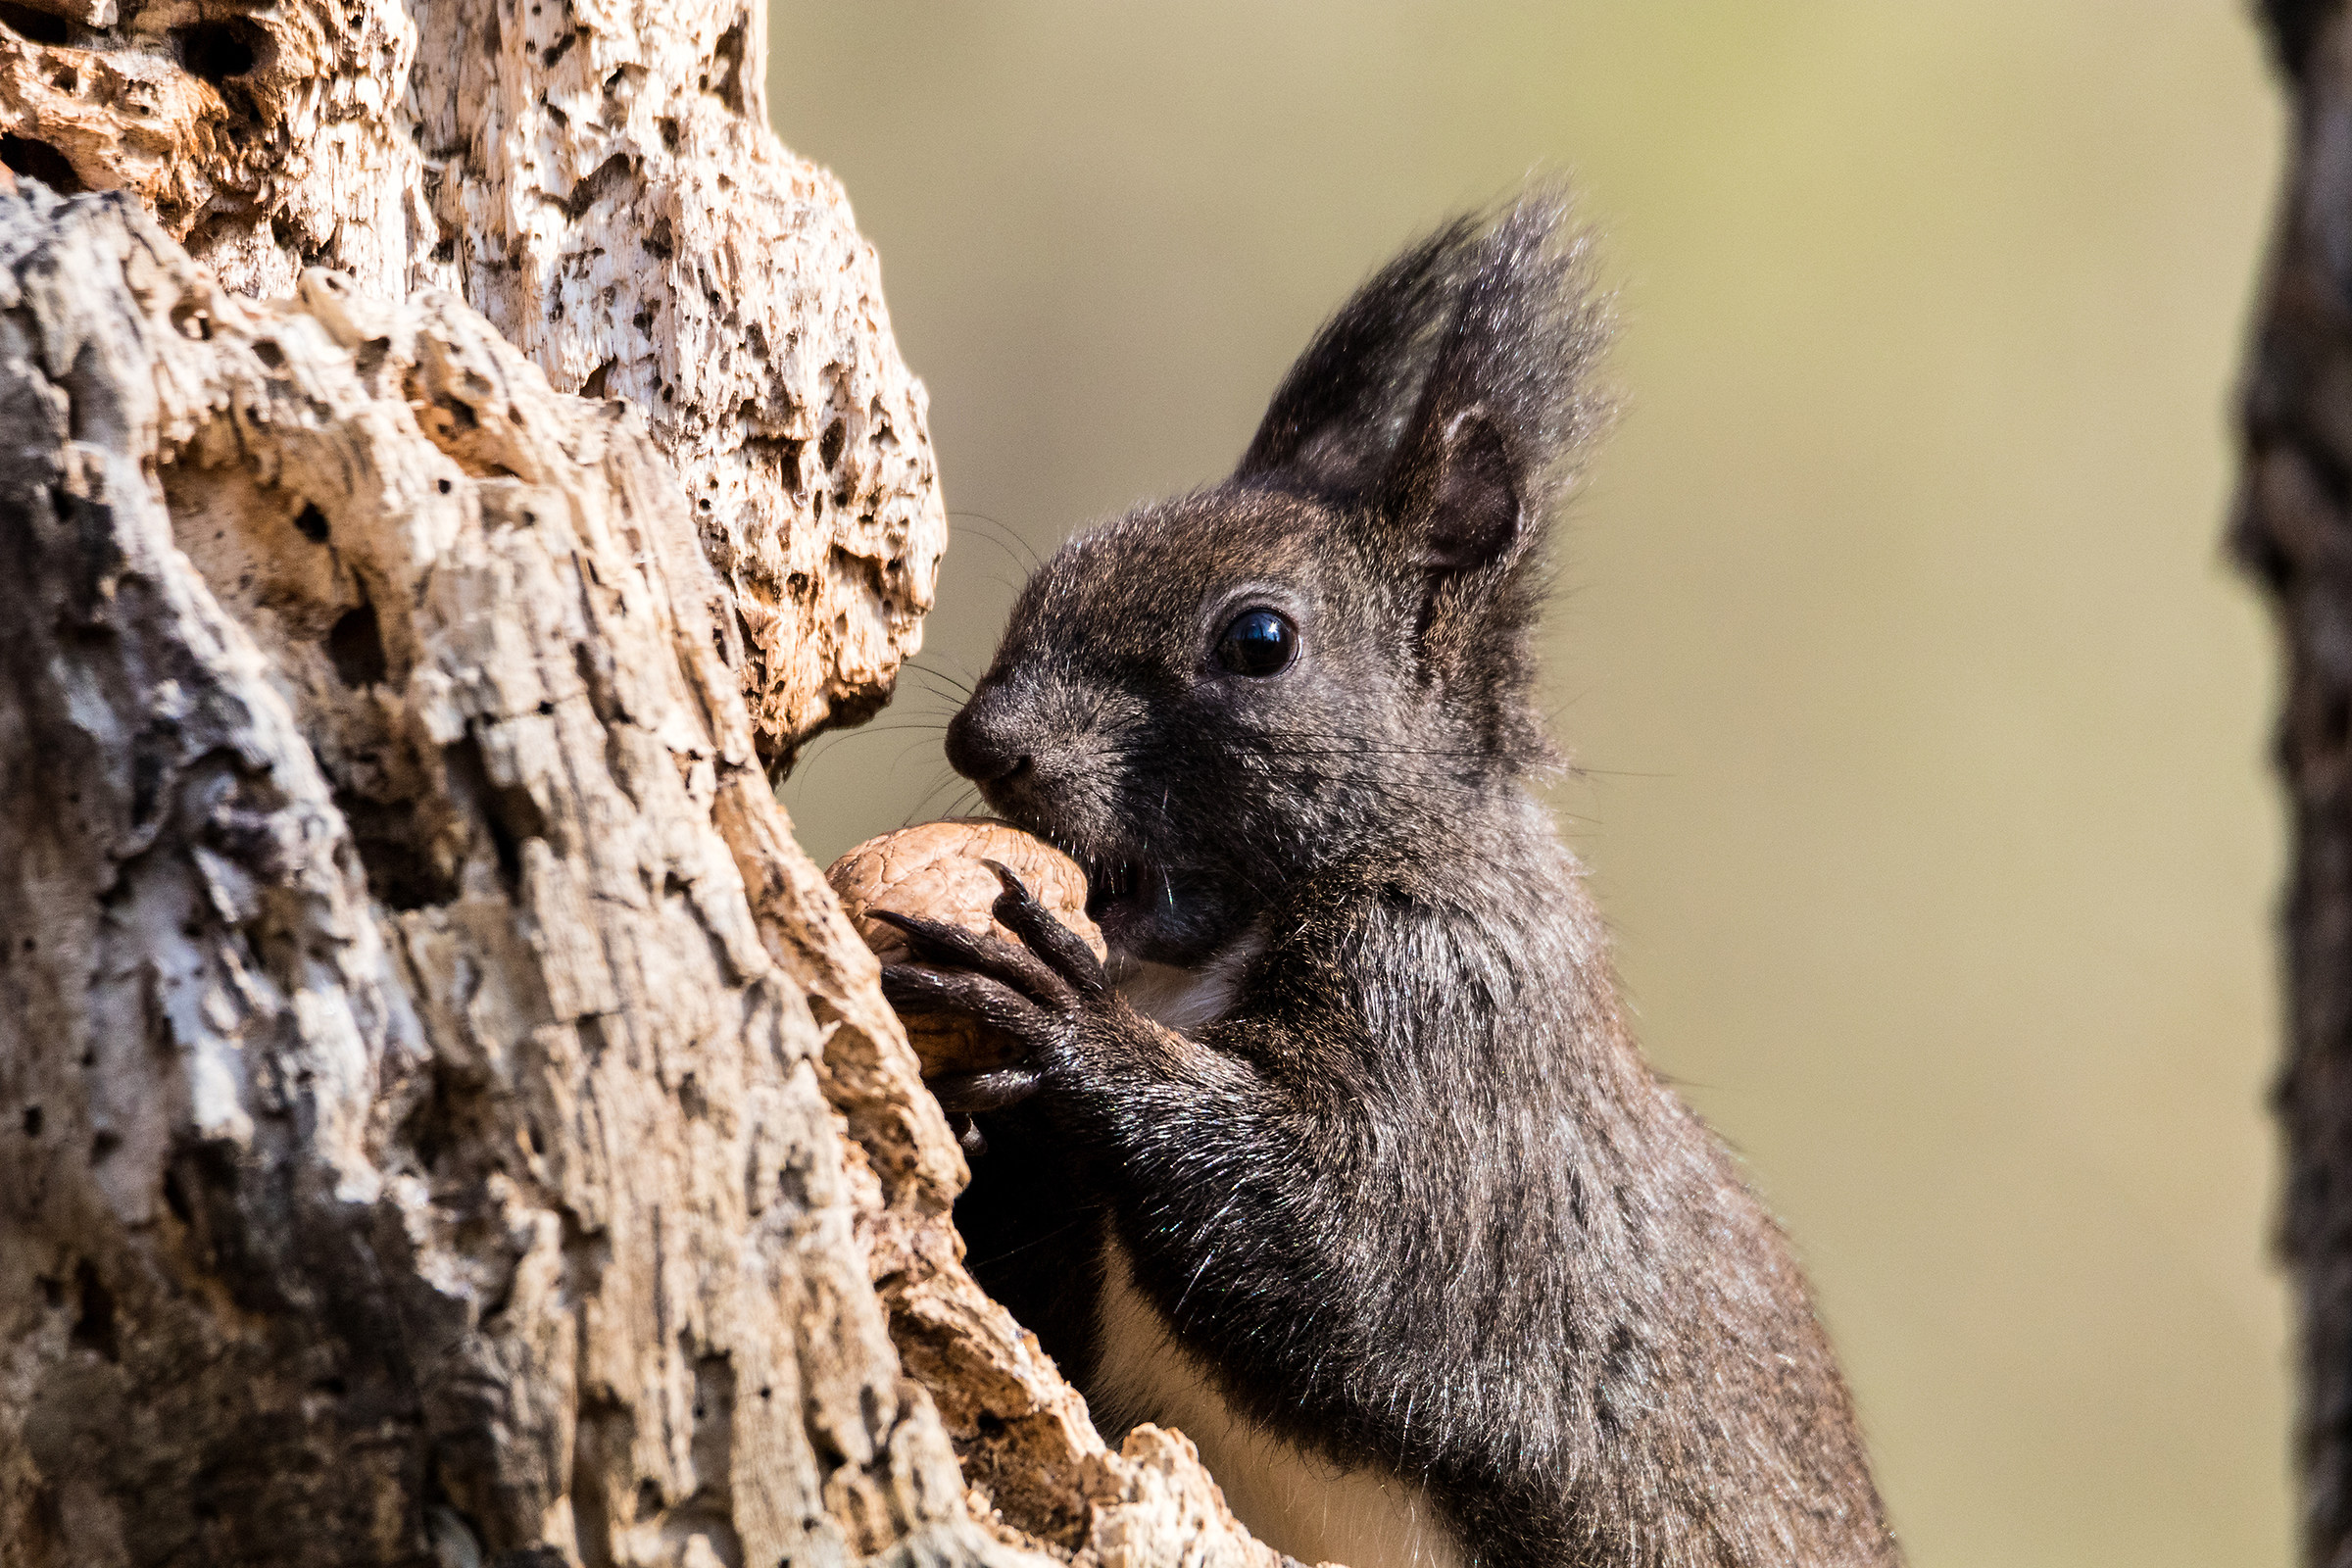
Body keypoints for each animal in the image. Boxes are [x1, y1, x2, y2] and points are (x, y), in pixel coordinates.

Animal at [876, 189, 1901, 1568]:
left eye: (1260, 641)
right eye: (1061, 564)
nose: (985, 739)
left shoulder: (1455, 1039)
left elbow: (1353, 1259)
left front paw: (1064, 1021)